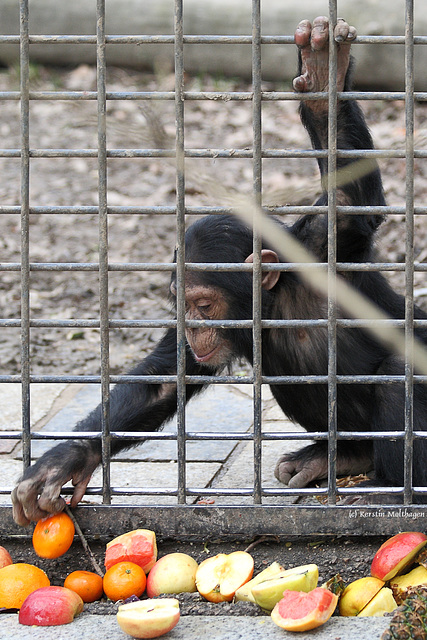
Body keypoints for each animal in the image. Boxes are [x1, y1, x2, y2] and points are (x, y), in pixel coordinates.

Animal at [11, 17, 427, 524]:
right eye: (183, 307)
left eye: (205, 305)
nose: (193, 328)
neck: (276, 300)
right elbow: (164, 382)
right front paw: (66, 459)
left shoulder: (327, 251)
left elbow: (350, 203)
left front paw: (325, 79)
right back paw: (340, 456)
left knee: (400, 371)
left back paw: (390, 491)